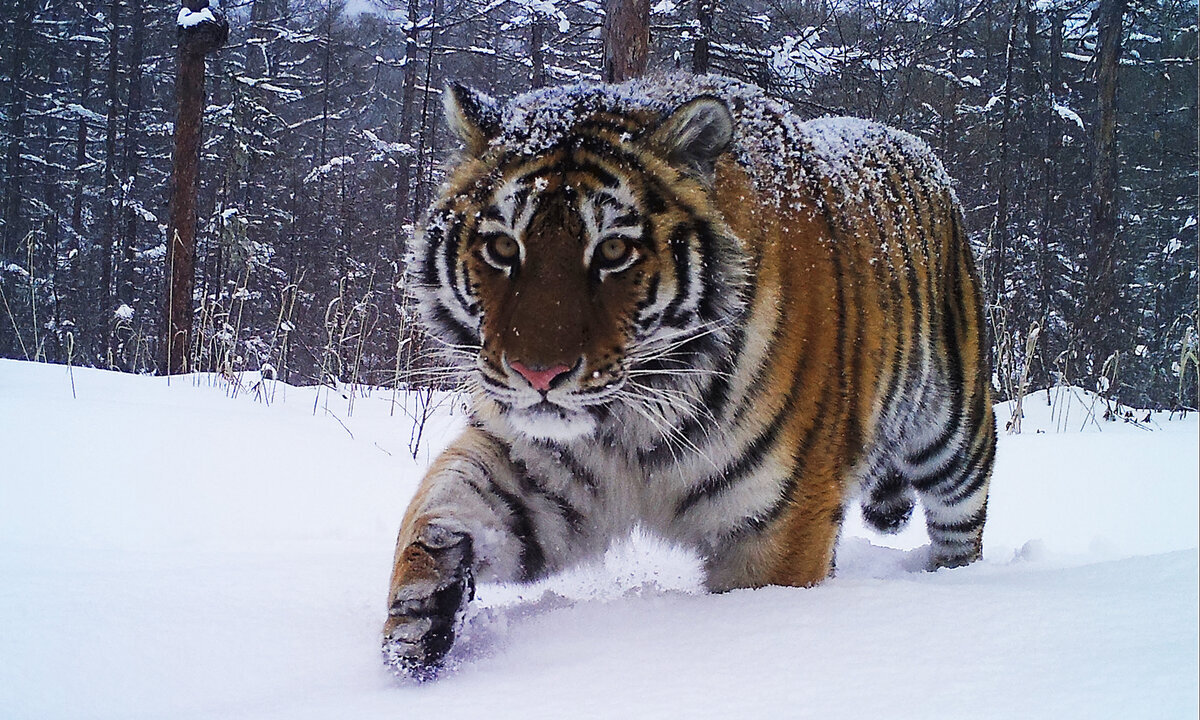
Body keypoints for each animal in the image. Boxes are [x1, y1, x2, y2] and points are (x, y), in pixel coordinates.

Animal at [381, 73, 993, 676]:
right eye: (503, 246)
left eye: (614, 250)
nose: (539, 373)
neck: (629, 425)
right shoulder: (534, 470)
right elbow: (437, 505)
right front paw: (420, 614)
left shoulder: (780, 525)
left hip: (956, 433)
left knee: (962, 525)